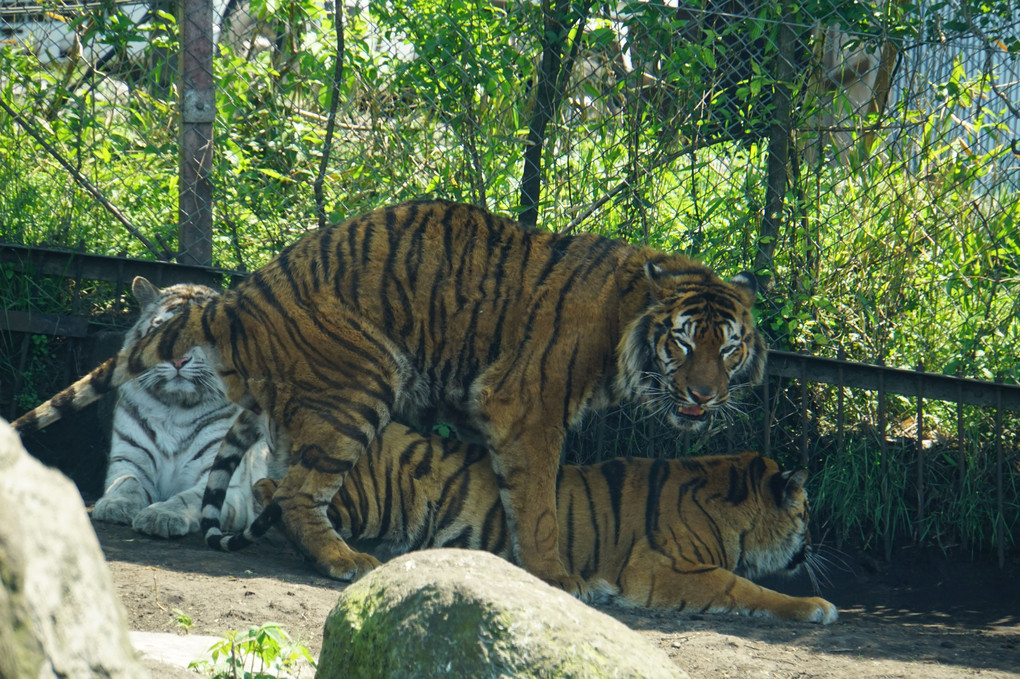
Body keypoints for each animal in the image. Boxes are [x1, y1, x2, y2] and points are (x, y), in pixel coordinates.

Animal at [11, 198, 762, 595]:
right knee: (296, 492)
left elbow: (499, 496)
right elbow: (540, 504)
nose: (704, 396)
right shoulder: (529, 411)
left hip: (284, 408)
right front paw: (556, 577)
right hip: (361, 385)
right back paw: (344, 560)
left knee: (267, 485)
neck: (625, 327)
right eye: (682, 342)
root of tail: (243, 292)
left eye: (729, 348)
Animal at [246, 420, 836, 619]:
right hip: (369, 497)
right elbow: (748, 590)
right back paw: (340, 558)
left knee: (267, 488)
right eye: (808, 512)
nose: (816, 545)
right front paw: (816, 606)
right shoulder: (667, 569)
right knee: (286, 497)